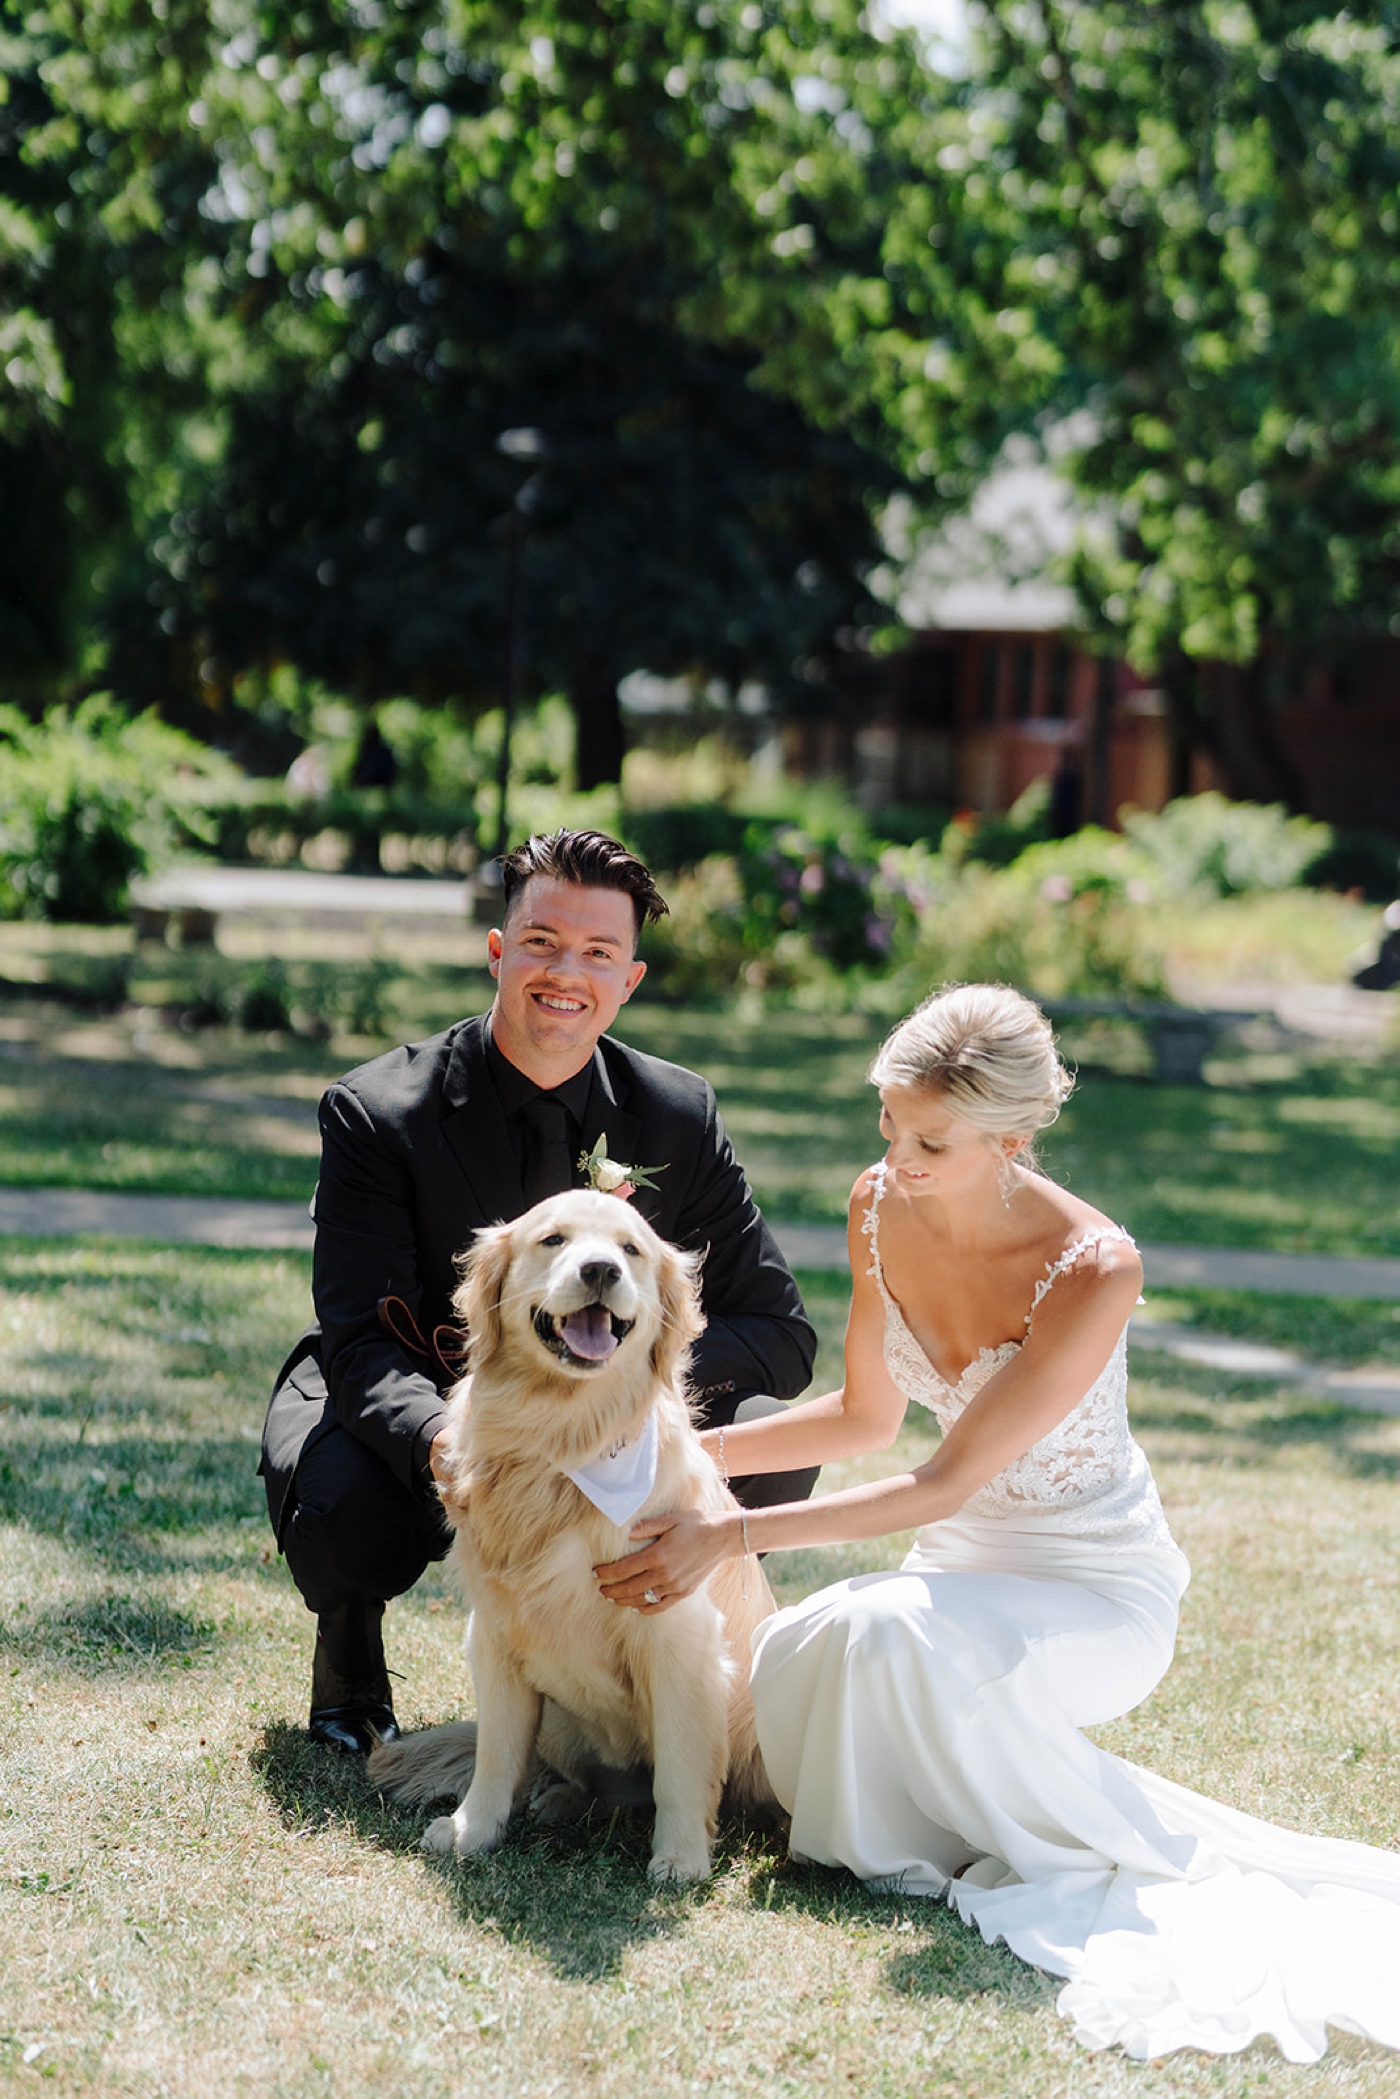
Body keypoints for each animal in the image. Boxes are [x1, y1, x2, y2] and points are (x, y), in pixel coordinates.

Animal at [367, 1192, 785, 1897]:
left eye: (631, 1249)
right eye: (553, 1239)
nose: (600, 1271)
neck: (562, 1443)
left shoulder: (679, 1638)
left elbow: (680, 1768)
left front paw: (679, 1859)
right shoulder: (493, 1632)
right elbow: (497, 1755)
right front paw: (471, 1831)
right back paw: (558, 1799)